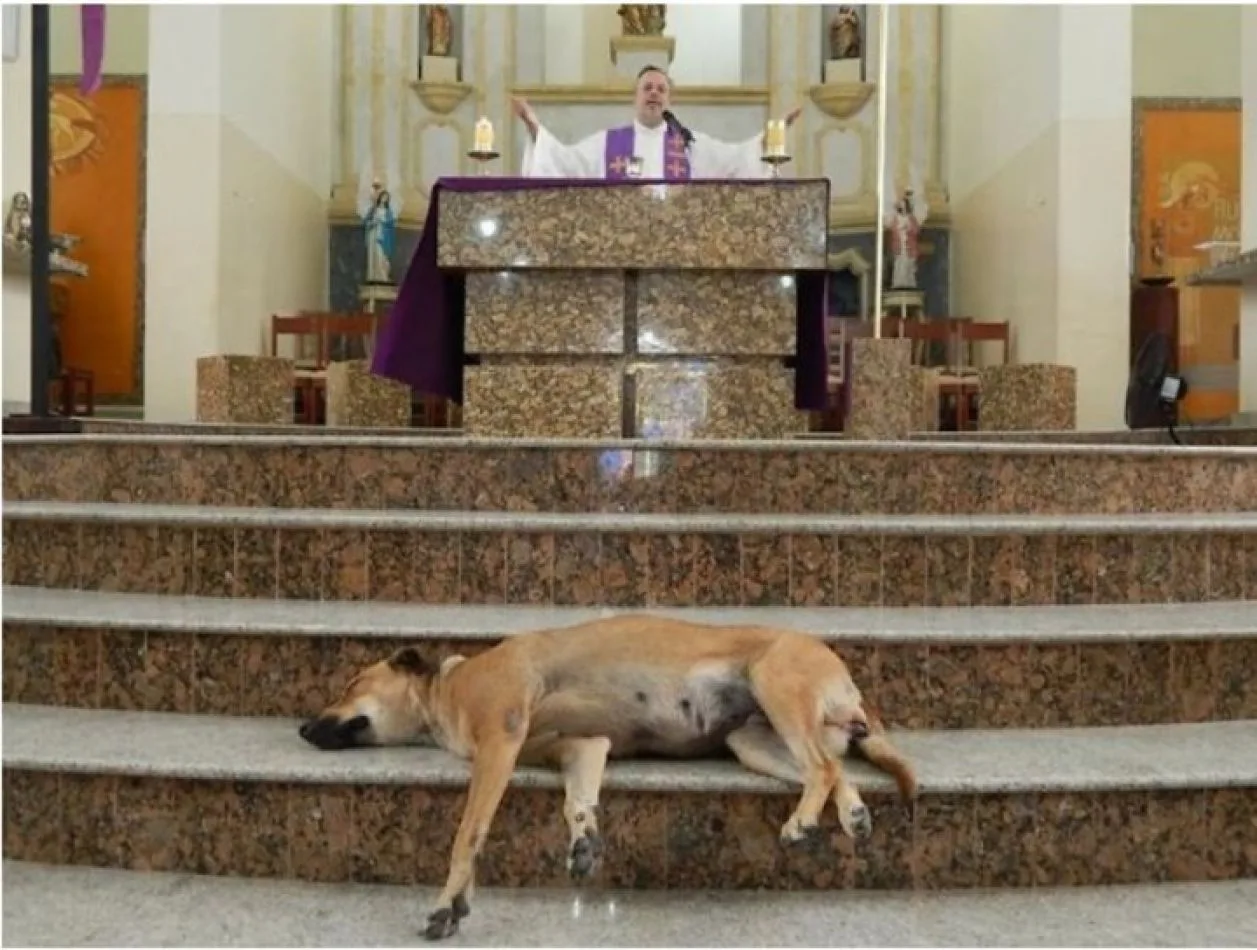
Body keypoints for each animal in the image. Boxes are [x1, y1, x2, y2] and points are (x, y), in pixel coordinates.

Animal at [299, 613, 920, 939]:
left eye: (350, 684)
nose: (303, 728)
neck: (447, 690)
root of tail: (844, 674)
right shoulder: (581, 747)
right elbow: (577, 800)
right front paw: (583, 838)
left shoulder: (499, 740)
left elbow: (468, 833)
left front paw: (447, 902)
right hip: (752, 741)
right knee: (834, 768)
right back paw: (850, 814)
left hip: (774, 683)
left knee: (822, 764)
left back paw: (803, 823)